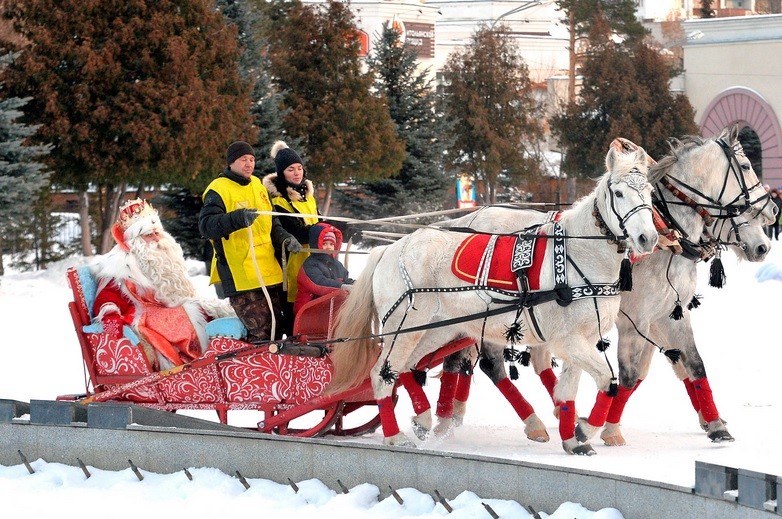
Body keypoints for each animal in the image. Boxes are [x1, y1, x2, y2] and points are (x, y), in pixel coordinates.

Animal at [326, 140, 660, 452]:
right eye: (619, 193)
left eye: (649, 192)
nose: (648, 238)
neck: (579, 254)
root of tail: (390, 248)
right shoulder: (567, 341)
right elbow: (608, 380)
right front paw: (584, 429)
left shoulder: (583, 339)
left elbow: (569, 393)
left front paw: (574, 437)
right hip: (403, 328)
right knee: (382, 373)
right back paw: (395, 436)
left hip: (437, 330)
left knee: (407, 367)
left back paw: (423, 418)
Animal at [428, 125, 776, 446]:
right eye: (746, 166)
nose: (769, 221)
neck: (667, 236)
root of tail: (467, 220)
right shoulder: (635, 321)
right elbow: (630, 375)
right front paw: (606, 428)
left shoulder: (667, 316)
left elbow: (691, 364)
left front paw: (715, 423)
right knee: (489, 362)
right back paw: (518, 421)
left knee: (478, 360)